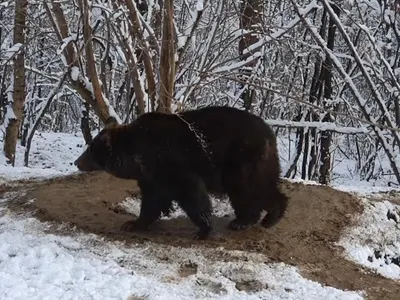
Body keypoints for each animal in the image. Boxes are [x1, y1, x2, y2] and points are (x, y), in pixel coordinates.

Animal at [74, 105, 288, 239]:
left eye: (90, 148)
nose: (76, 162)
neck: (137, 156)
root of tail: (270, 132)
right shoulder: (152, 175)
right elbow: (152, 200)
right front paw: (133, 223)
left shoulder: (173, 163)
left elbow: (191, 194)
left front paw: (203, 229)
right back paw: (253, 218)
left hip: (242, 158)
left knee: (249, 187)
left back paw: (258, 219)